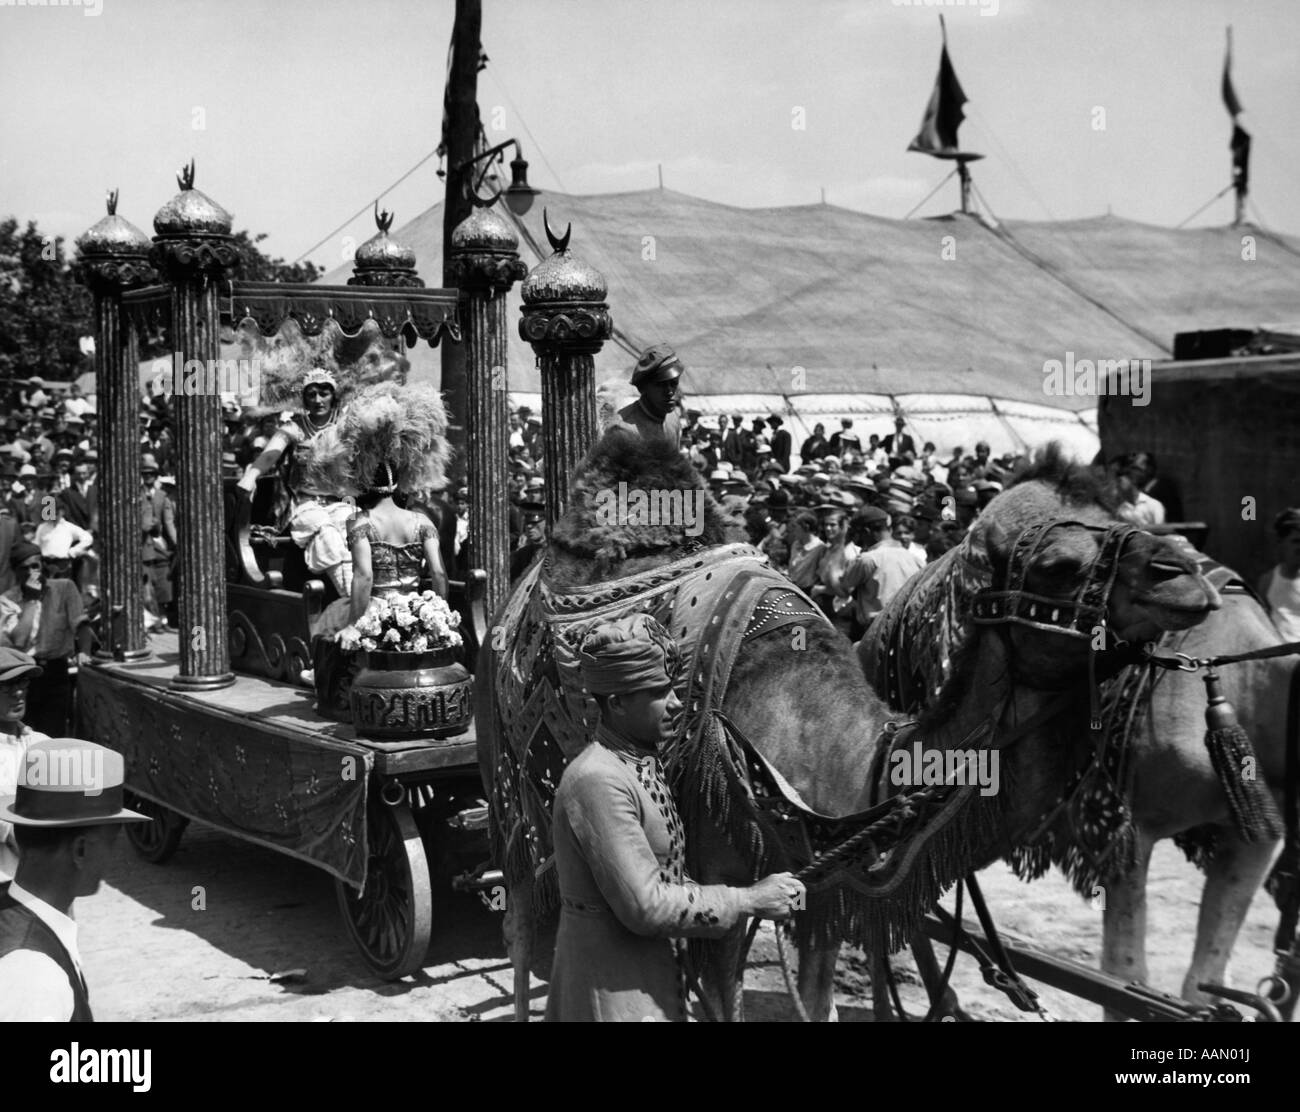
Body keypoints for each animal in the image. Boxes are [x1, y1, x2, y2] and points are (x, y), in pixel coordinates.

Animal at [478, 436, 1216, 1019]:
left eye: (1123, 515)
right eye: (1058, 565)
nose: (1187, 574)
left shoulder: (816, 883)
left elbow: (818, 992)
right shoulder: (717, 868)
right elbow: (720, 990)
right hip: (506, 778)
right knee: (519, 920)